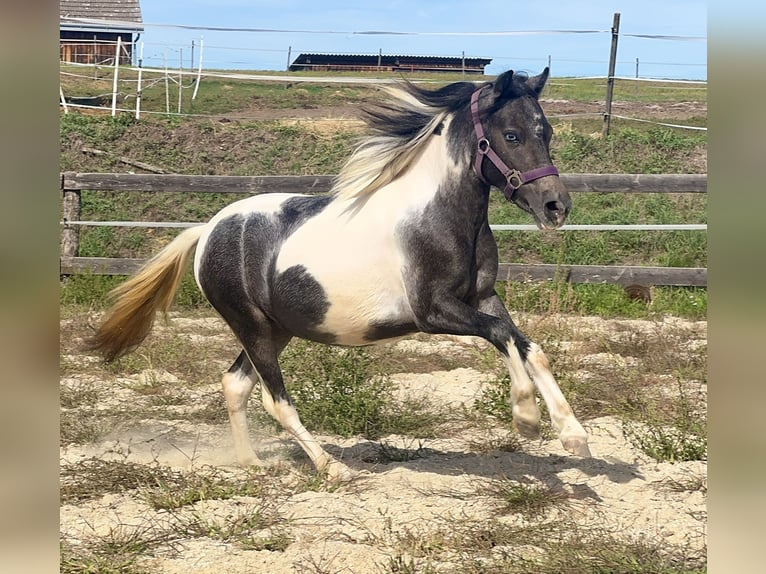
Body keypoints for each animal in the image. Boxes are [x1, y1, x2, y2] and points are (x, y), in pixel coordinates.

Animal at [87, 68, 591, 481]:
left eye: (546, 132)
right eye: (511, 134)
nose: (556, 207)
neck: (437, 217)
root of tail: (208, 229)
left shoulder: (483, 297)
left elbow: (529, 346)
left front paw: (573, 434)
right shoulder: (434, 312)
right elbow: (502, 337)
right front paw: (526, 419)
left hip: (276, 329)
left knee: (236, 384)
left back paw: (252, 462)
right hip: (251, 325)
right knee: (274, 398)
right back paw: (333, 468)